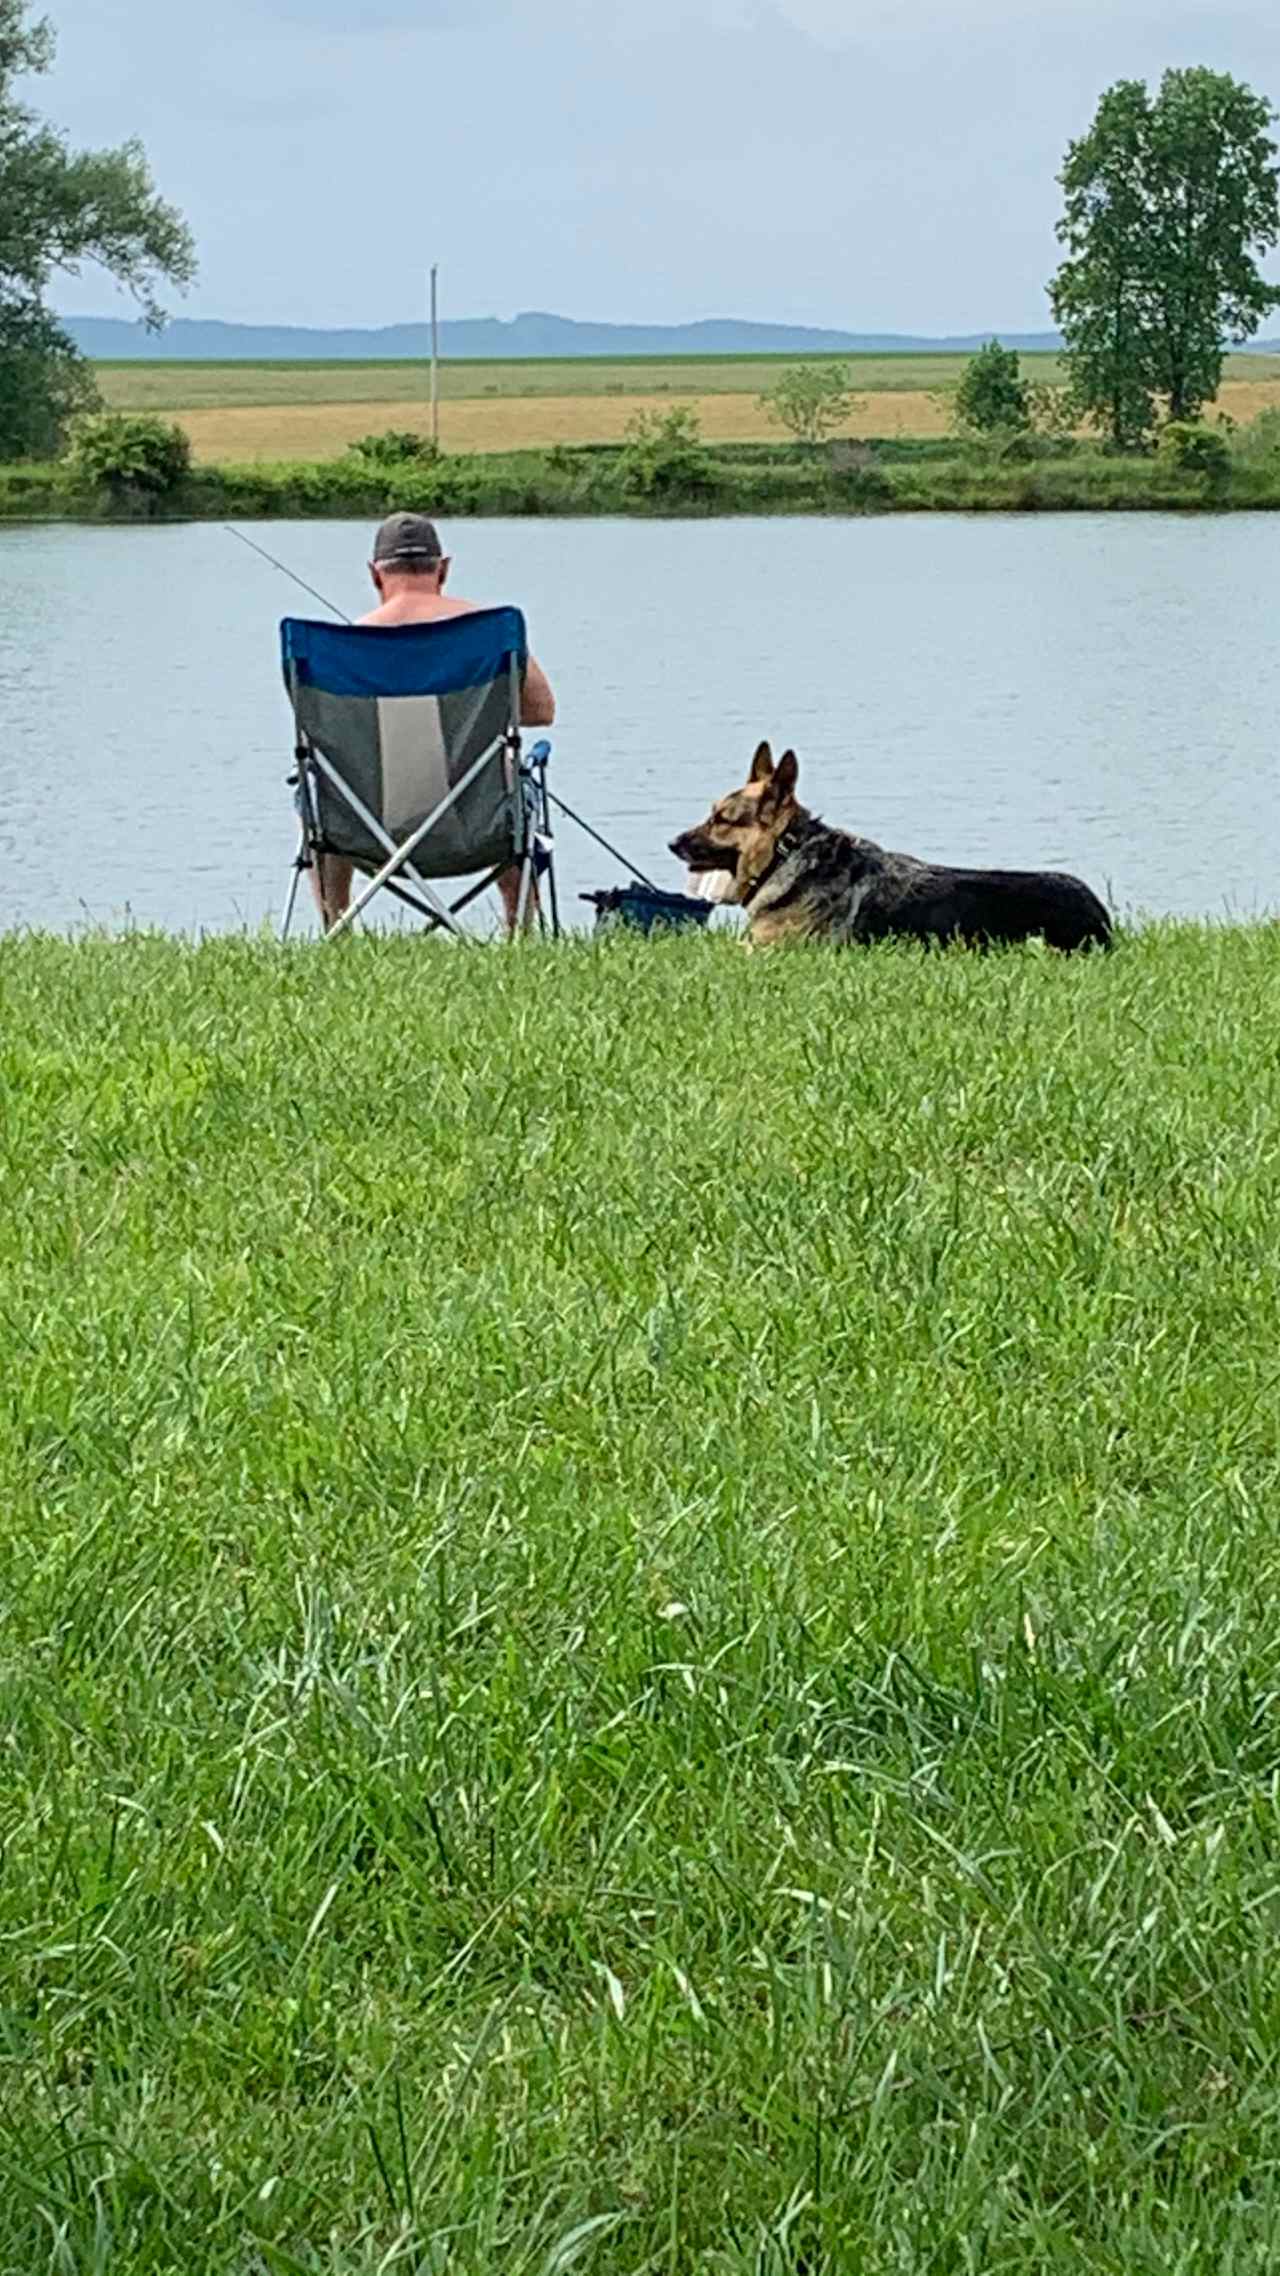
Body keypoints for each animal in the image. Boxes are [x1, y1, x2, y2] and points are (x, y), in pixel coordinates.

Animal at [669, 746, 1106, 951]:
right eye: (712, 812)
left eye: (722, 819)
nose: (671, 843)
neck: (787, 853)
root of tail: (1099, 913)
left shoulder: (769, 949)